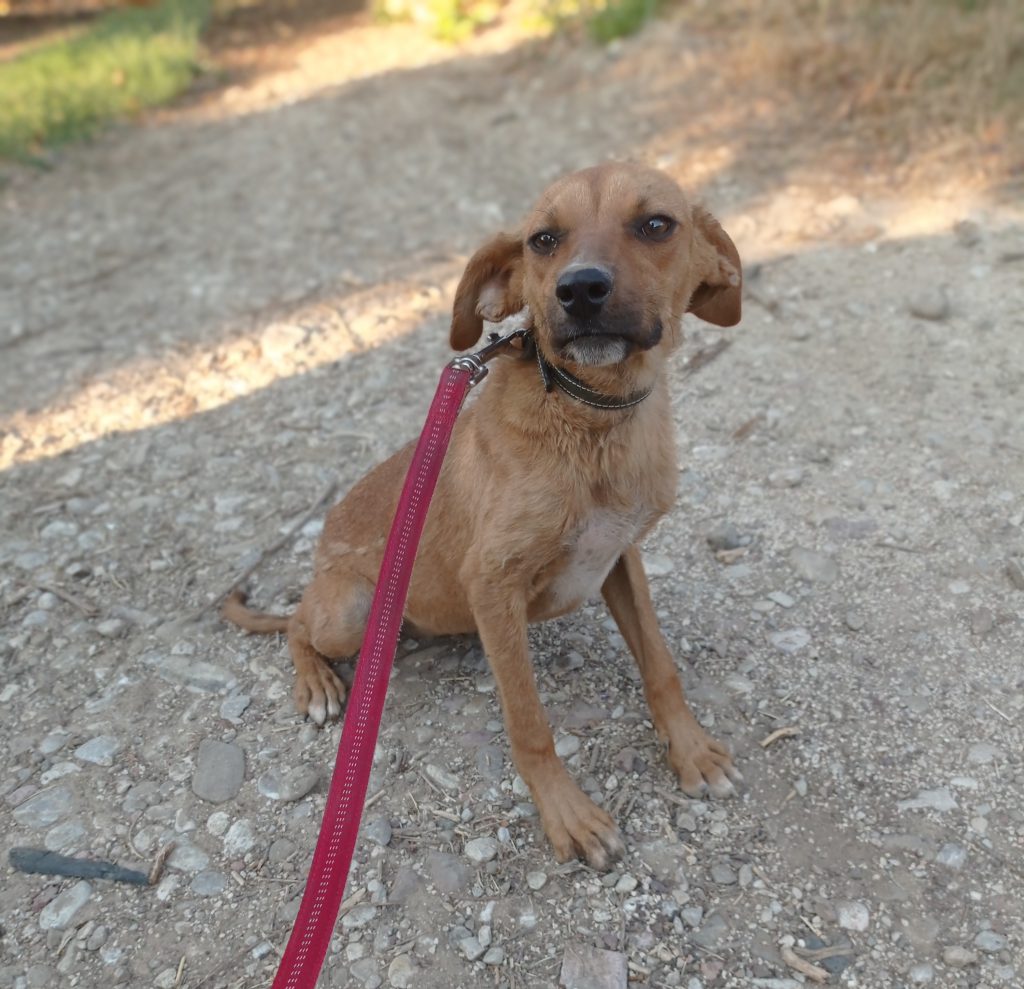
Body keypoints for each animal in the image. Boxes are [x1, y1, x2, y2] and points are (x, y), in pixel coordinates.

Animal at [224, 162, 743, 868]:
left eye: (657, 225)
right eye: (543, 240)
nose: (580, 290)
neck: (591, 418)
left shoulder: (620, 554)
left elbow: (660, 665)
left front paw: (690, 751)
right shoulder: (493, 583)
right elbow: (529, 722)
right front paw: (567, 814)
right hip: (348, 612)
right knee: (298, 627)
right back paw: (319, 683)